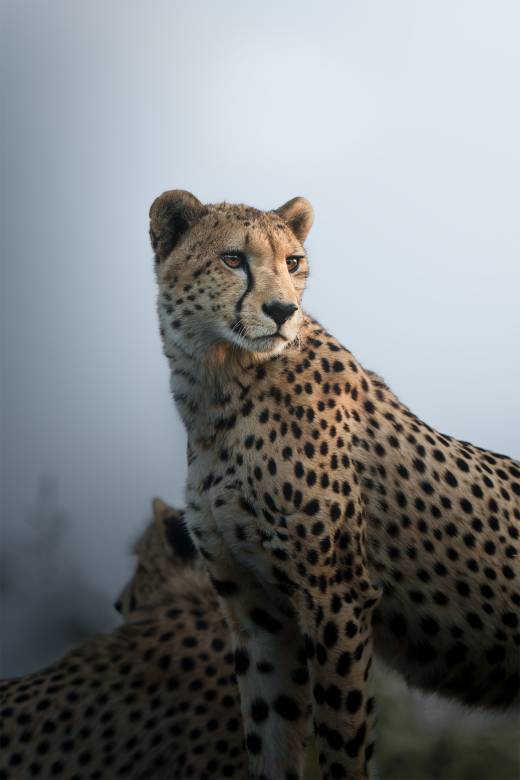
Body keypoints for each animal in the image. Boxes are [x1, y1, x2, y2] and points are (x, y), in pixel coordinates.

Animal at [149, 189, 520, 780]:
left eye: (293, 262)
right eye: (233, 259)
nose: (283, 311)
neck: (221, 385)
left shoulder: (337, 597)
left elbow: (343, 739)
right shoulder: (257, 612)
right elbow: (270, 736)